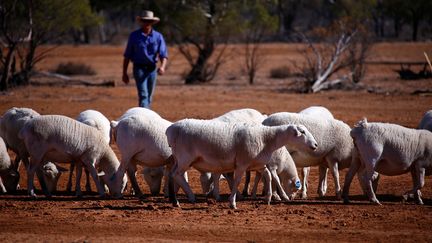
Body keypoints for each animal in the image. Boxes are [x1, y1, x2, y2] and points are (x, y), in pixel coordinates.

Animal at [165, 119, 318, 209]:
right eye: (302, 132)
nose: (316, 145)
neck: (266, 138)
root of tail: (170, 129)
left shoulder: (258, 164)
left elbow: (268, 176)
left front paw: (268, 198)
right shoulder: (242, 164)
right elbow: (237, 180)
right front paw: (232, 203)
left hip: (178, 158)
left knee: (172, 174)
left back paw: (175, 200)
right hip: (185, 157)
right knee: (177, 174)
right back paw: (189, 197)